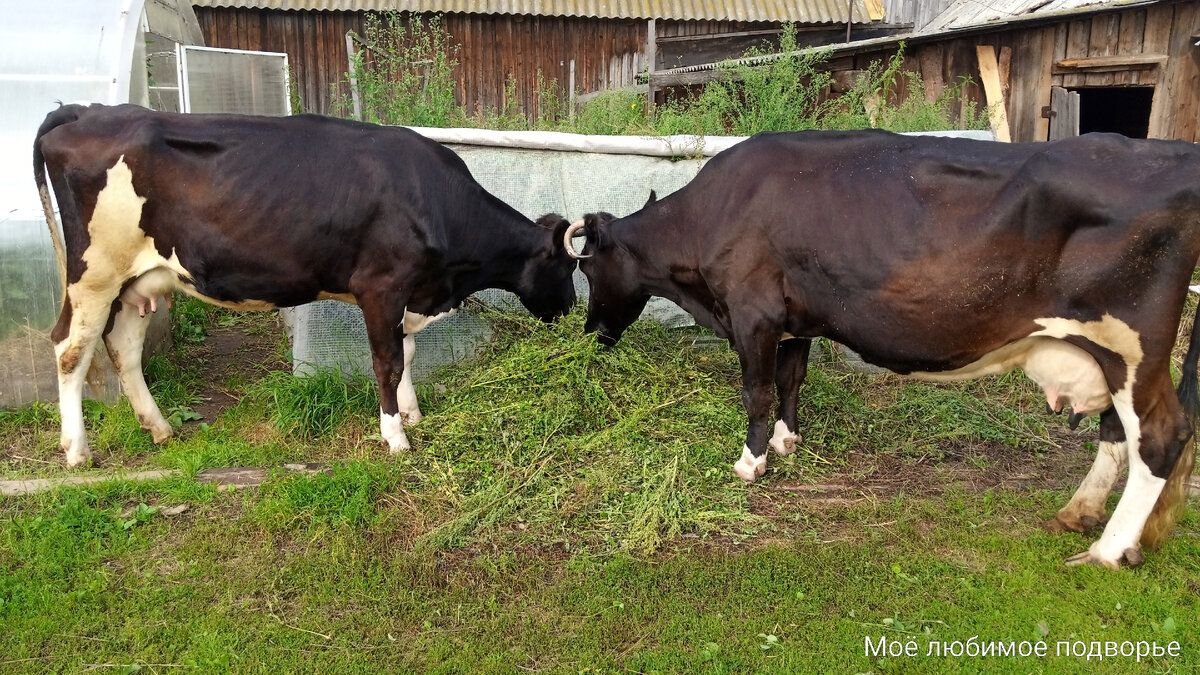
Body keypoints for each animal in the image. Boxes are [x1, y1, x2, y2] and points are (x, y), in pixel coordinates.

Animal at [35, 102, 578, 466]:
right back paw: (77, 451)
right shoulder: (382, 287)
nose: (573, 312)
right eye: (568, 270)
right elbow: (387, 362)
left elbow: (408, 355)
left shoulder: (405, 295)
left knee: (123, 349)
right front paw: (395, 437)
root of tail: (89, 111)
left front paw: (412, 414)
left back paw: (160, 429)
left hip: (138, 279)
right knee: (70, 349)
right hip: (93, 274)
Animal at [566, 127, 1200, 566]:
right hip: (1108, 353)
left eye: (589, 269)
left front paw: (751, 463)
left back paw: (1107, 550)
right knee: (1118, 431)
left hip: (1131, 345)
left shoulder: (753, 314)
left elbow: (757, 391)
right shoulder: (796, 318)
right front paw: (789, 442)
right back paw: (1080, 514)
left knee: (1160, 435)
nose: (591, 332)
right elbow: (792, 379)